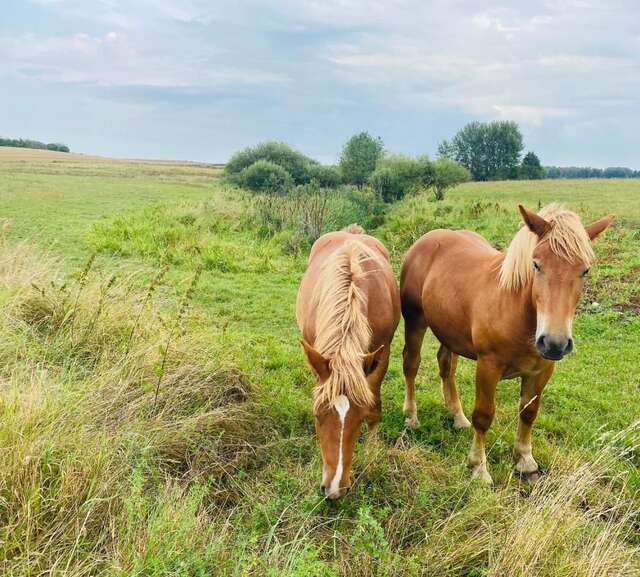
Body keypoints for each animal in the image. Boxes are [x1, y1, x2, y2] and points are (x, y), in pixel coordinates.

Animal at [296, 225, 398, 500]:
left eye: (359, 418)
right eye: (317, 415)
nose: (333, 489)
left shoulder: (380, 356)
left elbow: (375, 404)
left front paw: (371, 452)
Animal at [400, 205, 616, 484]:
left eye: (585, 270)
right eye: (536, 264)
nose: (555, 343)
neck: (517, 312)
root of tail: (427, 239)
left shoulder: (542, 371)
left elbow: (528, 411)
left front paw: (525, 461)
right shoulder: (488, 367)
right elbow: (483, 416)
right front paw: (479, 469)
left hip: (448, 330)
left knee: (446, 366)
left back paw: (457, 417)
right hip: (415, 321)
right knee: (411, 364)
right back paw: (411, 416)